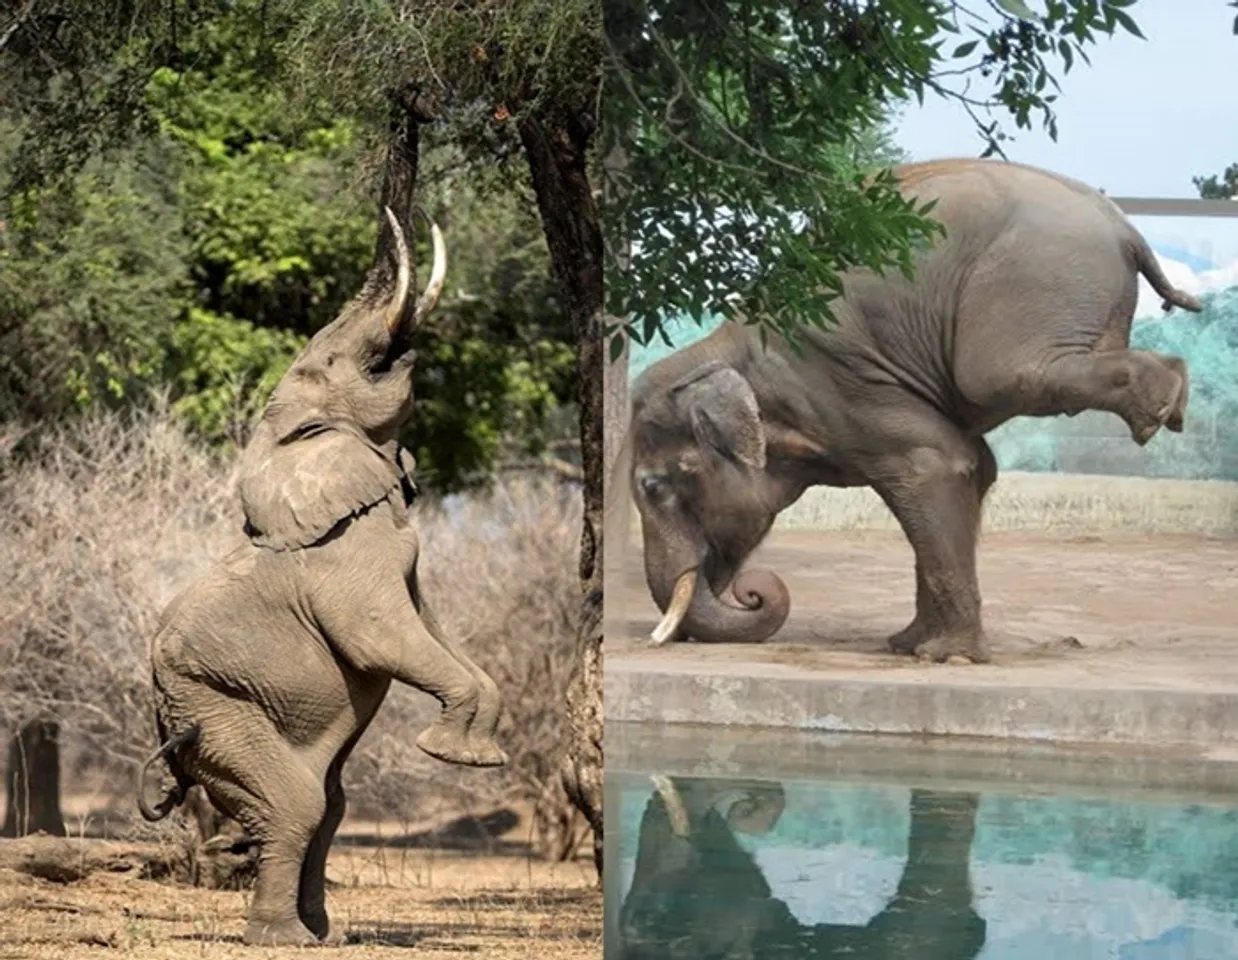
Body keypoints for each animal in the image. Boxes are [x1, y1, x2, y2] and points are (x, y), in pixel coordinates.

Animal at [134, 204, 502, 946]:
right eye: (332, 362)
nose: (407, 347)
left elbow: (433, 631)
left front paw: (479, 754)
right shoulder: (343, 556)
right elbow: (381, 638)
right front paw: (452, 752)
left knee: (329, 805)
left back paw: (318, 934)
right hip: (212, 706)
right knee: (296, 803)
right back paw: (283, 939)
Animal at [623, 161, 1203, 663]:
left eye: (653, 486)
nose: (752, 592)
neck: (732, 347)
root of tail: (1123, 225)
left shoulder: (844, 385)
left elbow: (931, 466)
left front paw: (948, 657)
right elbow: (973, 468)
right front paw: (907, 645)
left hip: (1035, 281)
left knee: (1007, 372)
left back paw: (1160, 406)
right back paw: (1168, 399)